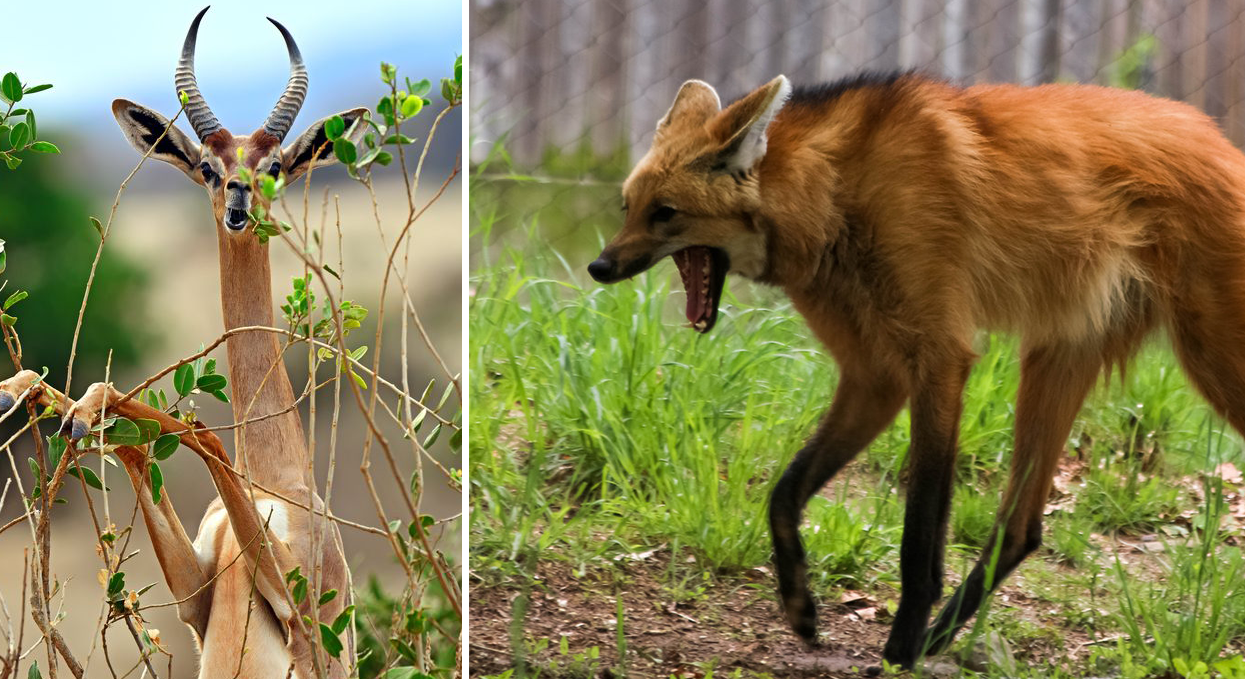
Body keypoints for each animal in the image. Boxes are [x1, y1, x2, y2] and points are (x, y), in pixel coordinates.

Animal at [585, 70, 1245, 667]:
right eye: (628, 207)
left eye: (665, 213)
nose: (599, 266)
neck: (836, 194)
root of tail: (1223, 142)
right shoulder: (876, 377)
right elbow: (784, 490)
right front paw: (802, 607)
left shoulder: (939, 357)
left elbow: (918, 530)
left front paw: (898, 648)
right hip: (1062, 349)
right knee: (1022, 525)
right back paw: (940, 638)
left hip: (1213, 358)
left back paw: (925, 642)